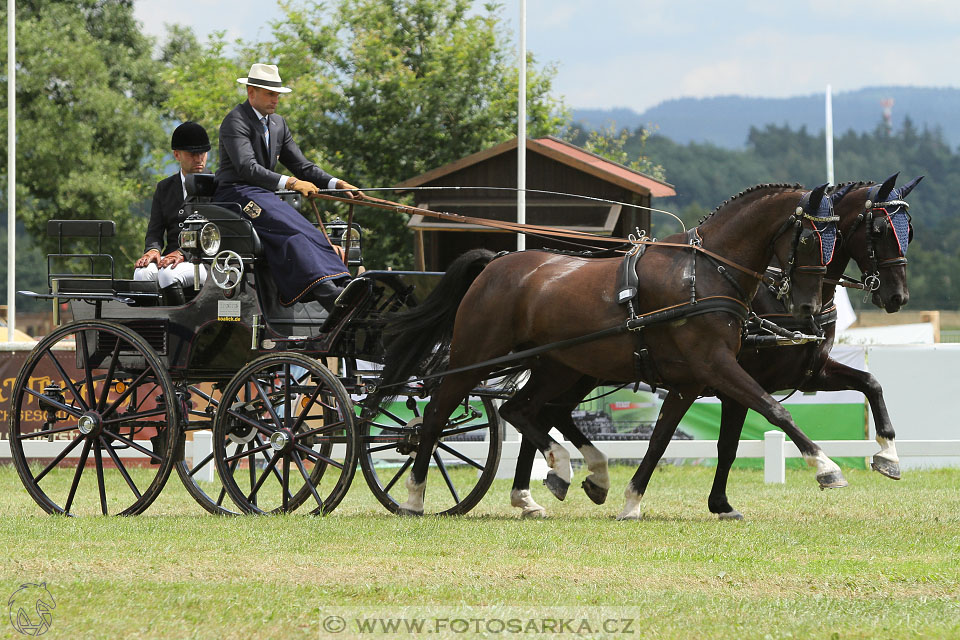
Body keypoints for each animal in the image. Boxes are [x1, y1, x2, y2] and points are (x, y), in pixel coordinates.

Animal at [376, 182, 840, 512]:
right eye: (809, 239)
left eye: (835, 238)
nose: (807, 307)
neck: (706, 271)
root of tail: (496, 261)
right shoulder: (714, 365)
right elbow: (774, 409)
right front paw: (827, 467)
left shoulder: (696, 376)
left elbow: (666, 436)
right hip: (477, 355)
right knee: (437, 415)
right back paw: (415, 495)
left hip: (560, 365)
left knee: (522, 411)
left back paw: (567, 476)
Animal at [510, 171, 924, 520]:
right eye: (880, 230)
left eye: (910, 230)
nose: (898, 296)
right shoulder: (732, 380)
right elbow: (732, 441)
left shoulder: (808, 373)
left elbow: (871, 384)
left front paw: (887, 455)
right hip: (571, 370)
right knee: (533, 413)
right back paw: (537, 489)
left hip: (579, 370)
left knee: (545, 413)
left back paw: (560, 482)